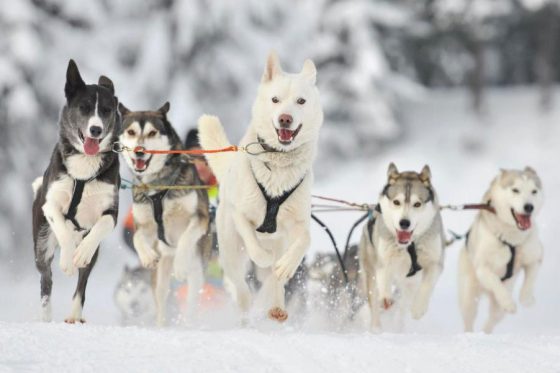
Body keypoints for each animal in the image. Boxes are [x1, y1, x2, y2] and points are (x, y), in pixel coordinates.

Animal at [31, 59, 120, 322]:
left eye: (107, 110)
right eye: (84, 107)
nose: (96, 130)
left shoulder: (111, 210)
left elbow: (101, 226)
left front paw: (79, 254)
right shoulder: (51, 204)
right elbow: (62, 225)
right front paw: (68, 258)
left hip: (94, 257)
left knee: (81, 284)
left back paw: (74, 315)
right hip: (41, 244)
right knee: (46, 278)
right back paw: (46, 314)